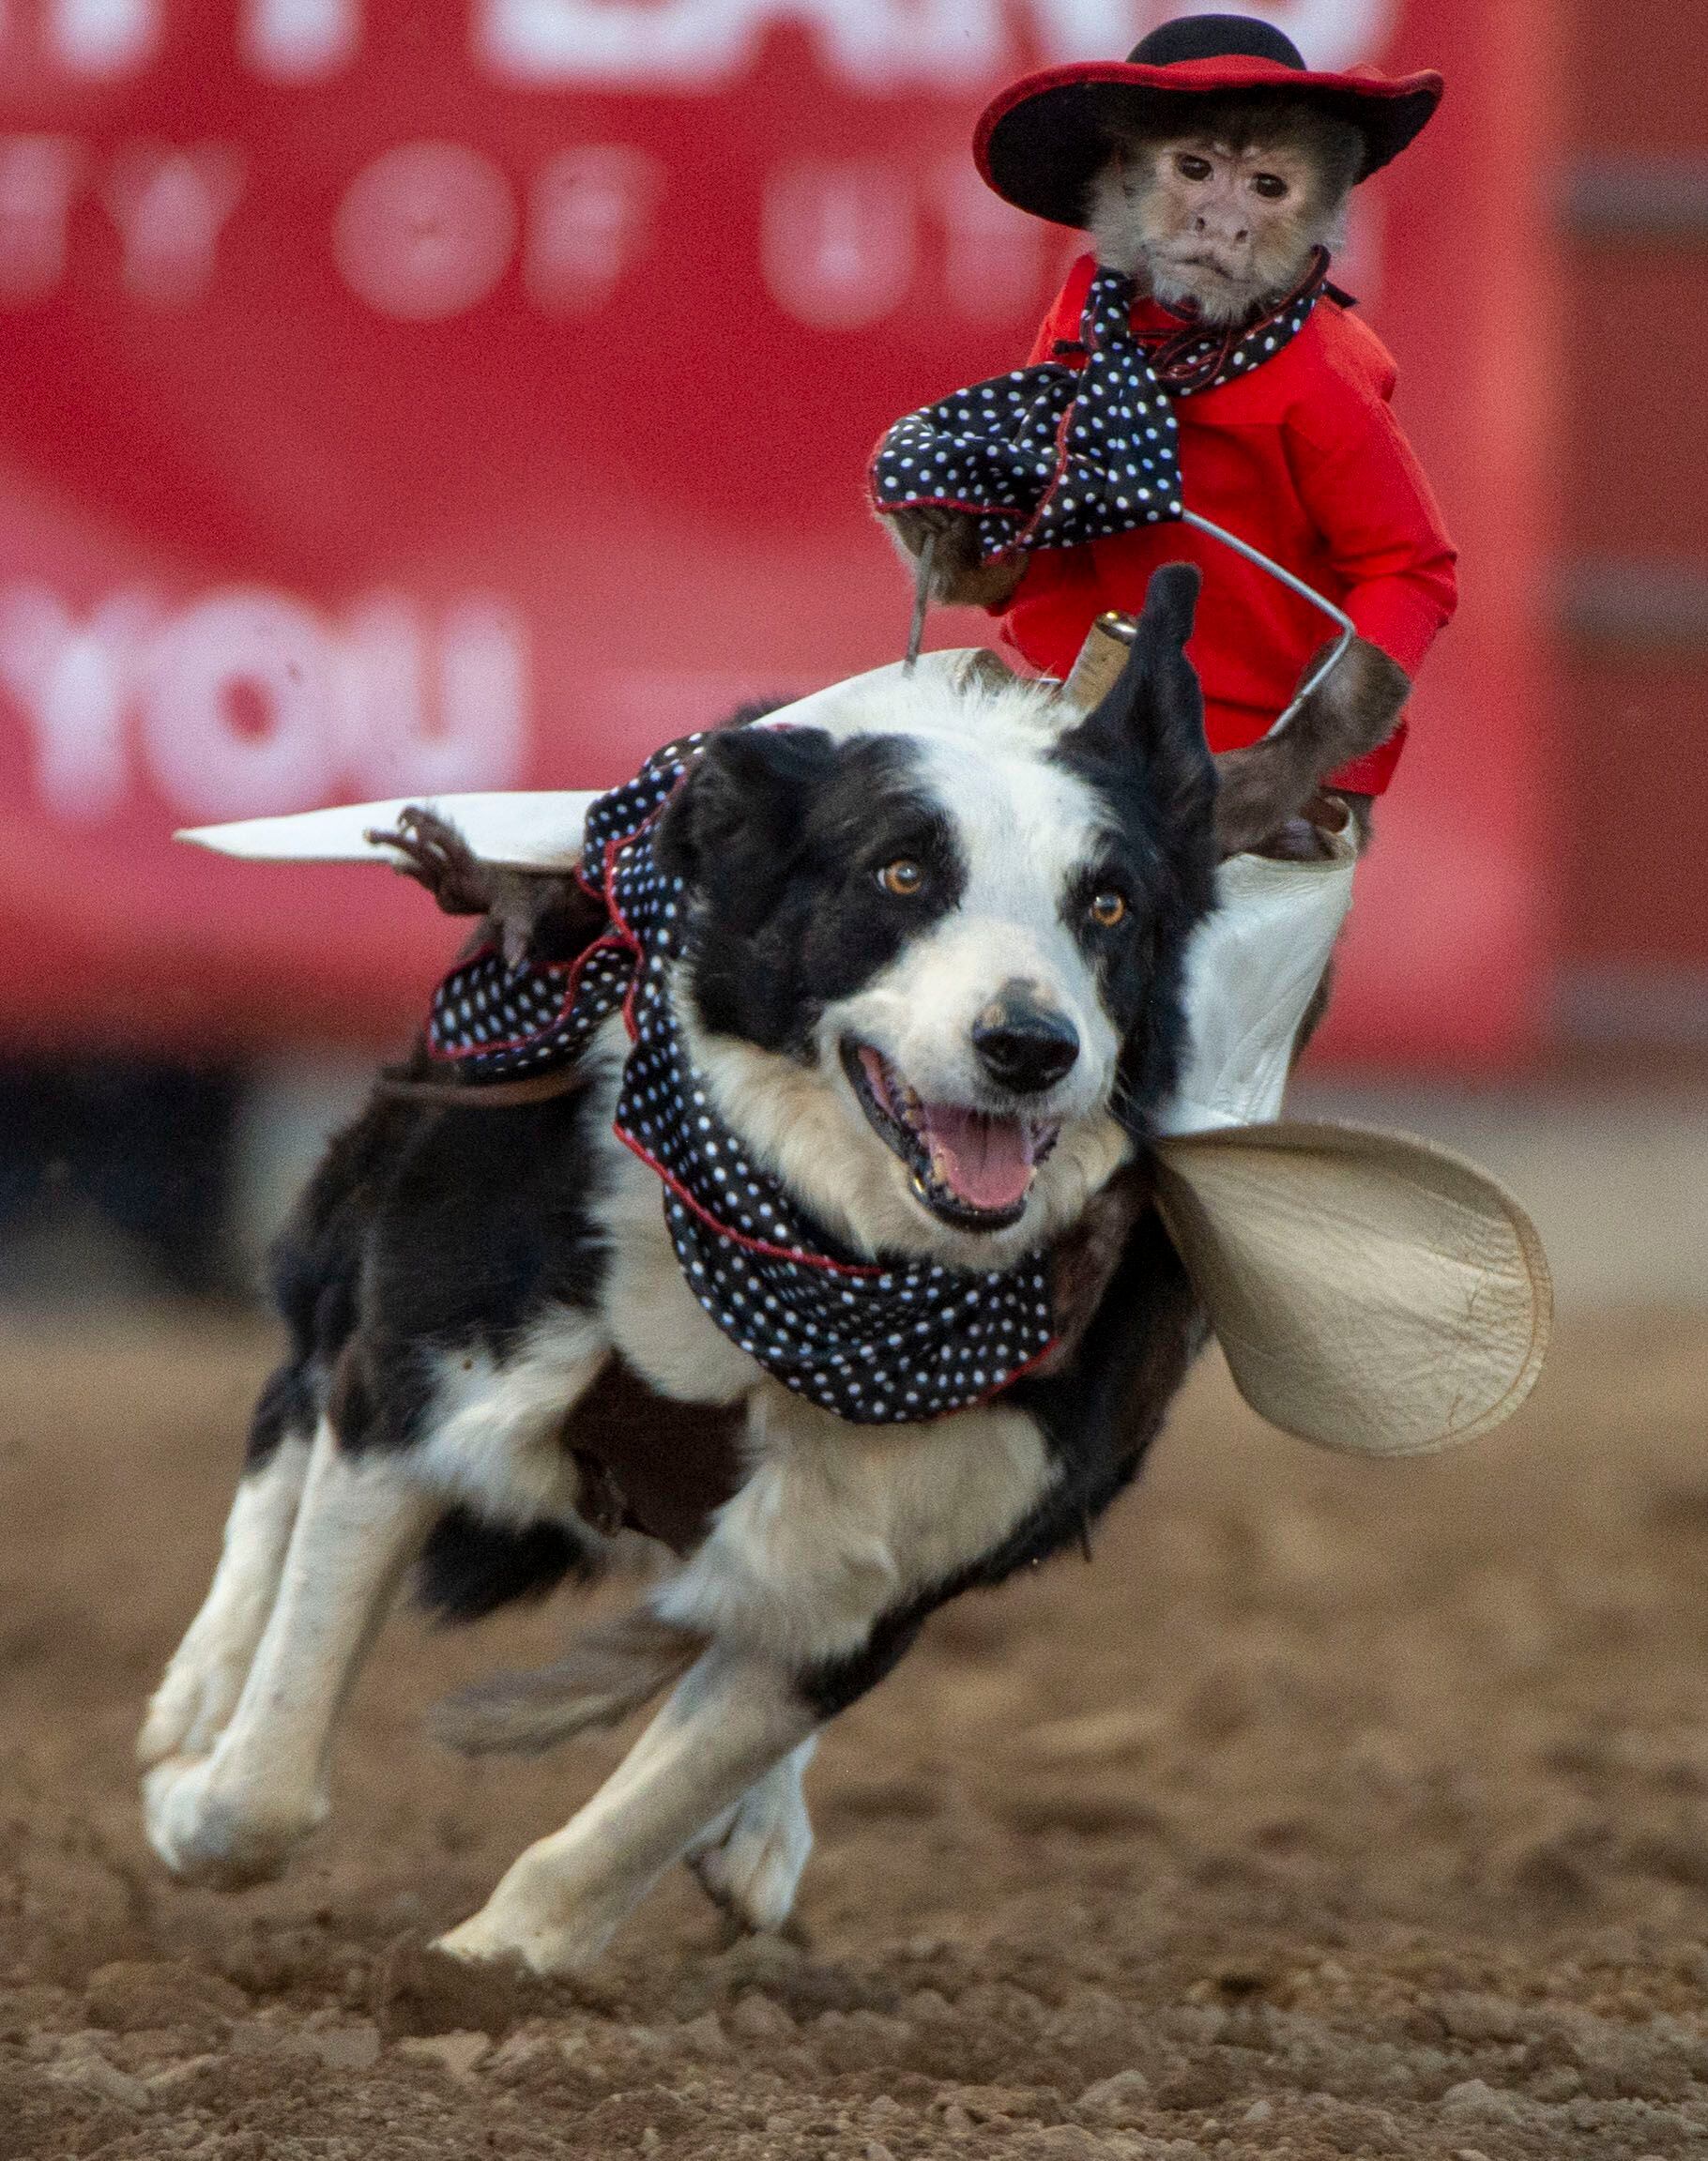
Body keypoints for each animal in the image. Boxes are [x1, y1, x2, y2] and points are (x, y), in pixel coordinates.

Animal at [144, 561, 1219, 1979]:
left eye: (1108, 905)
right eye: (899, 871)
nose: (1030, 1044)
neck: (797, 1260)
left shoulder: (896, 1560)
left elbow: (637, 1813)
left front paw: (488, 1970)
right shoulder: (422, 1378)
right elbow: (272, 1762)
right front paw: (189, 1802)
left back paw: (756, 1831)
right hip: (361, 1225)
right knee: (289, 1417)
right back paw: (195, 1693)